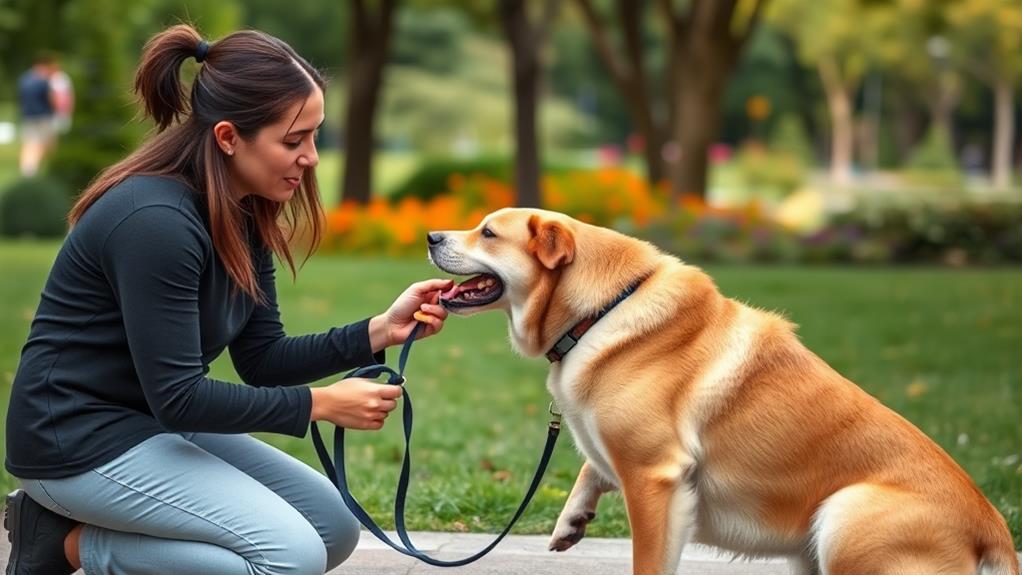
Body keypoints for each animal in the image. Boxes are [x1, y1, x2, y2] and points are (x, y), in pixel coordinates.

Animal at [427, 208, 1017, 575]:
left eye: (487, 233)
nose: (431, 237)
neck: (601, 310)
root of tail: (995, 533)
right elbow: (592, 467)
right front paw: (572, 518)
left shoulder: (654, 479)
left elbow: (648, 559)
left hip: (844, 516)